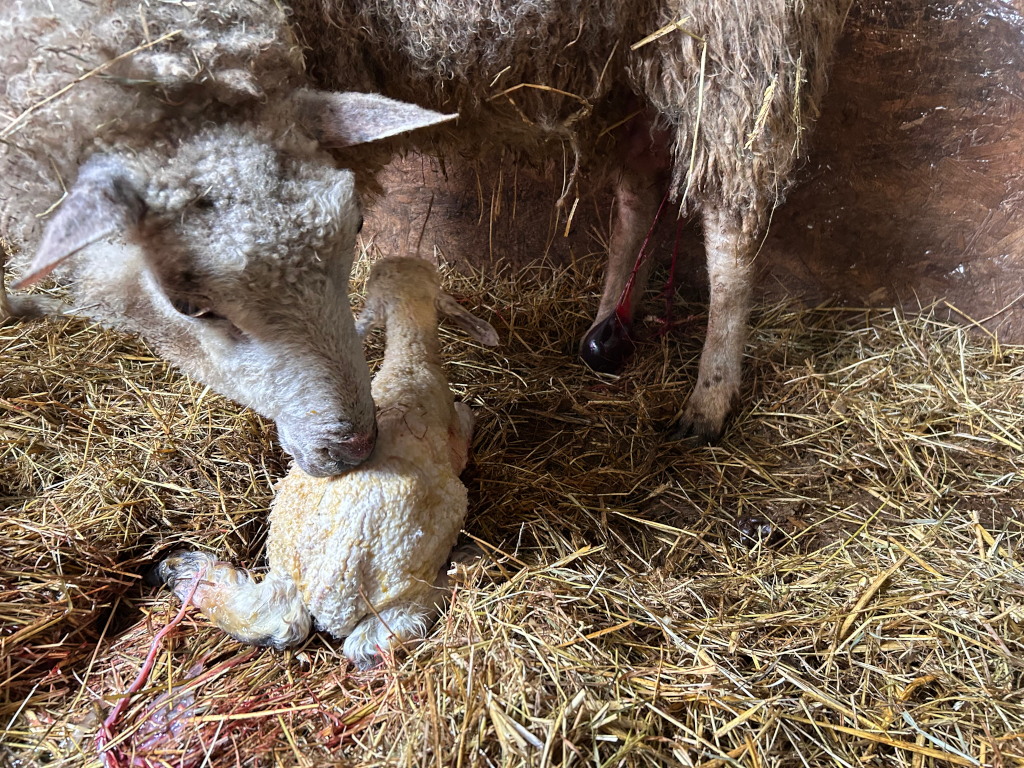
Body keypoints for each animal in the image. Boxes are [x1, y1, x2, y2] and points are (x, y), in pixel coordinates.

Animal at [2, 1, 850, 471]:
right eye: (190, 307)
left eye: (354, 232)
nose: (353, 450)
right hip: (618, 56)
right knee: (638, 186)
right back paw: (608, 326)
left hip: (735, 47)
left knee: (734, 223)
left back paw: (710, 395)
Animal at [151, 257, 498, 667]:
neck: (409, 365)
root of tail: (328, 596)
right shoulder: (457, 431)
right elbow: (466, 418)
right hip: (407, 576)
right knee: (370, 645)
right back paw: (468, 562)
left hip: (283, 558)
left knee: (273, 619)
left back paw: (184, 571)